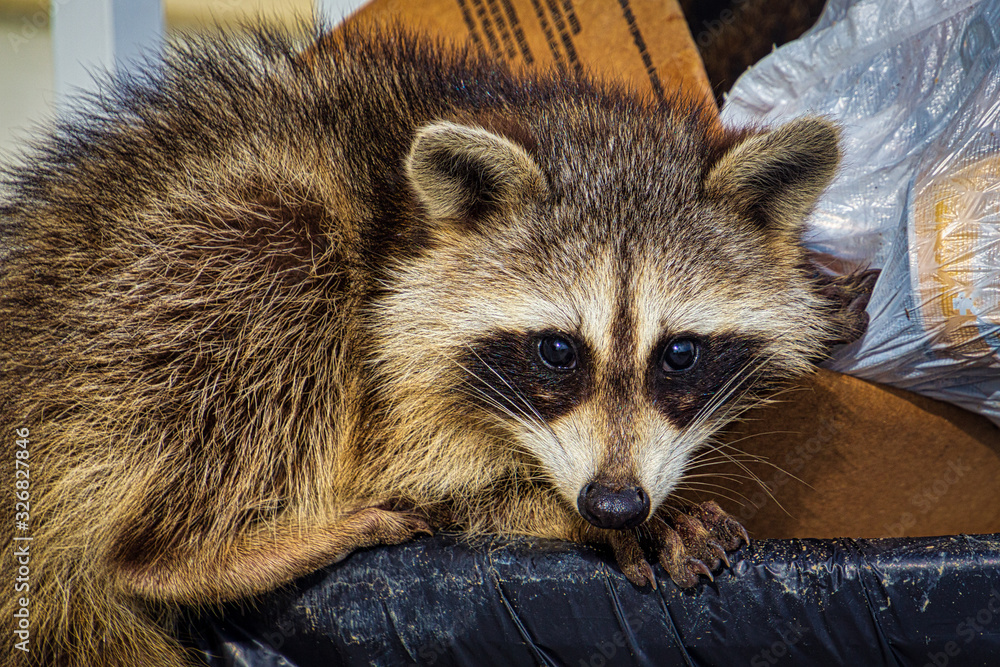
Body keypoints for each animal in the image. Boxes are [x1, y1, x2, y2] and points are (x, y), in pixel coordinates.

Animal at [0, 25, 873, 667]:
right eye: (558, 350)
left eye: (680, 353)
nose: (614, 502)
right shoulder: (385, 367)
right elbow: (438, 485)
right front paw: (571, 516)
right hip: (165, 292)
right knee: (280, 253)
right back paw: (195, 552)